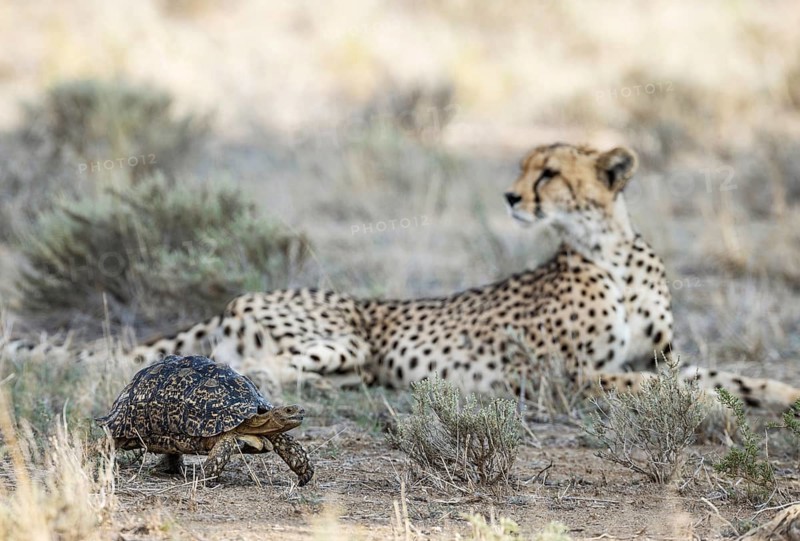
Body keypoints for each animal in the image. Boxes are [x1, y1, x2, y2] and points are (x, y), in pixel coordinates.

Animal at [110, 143, 800, 411]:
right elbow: (653, 387)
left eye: (549, 172)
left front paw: (782, 393)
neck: (611, 250)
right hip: (345, 339)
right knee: (256, 371)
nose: (511, 197)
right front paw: (703, 403)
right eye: (522, 167)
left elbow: (728, 376)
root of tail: (239, 295)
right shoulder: (563, 377)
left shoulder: (660, 356)